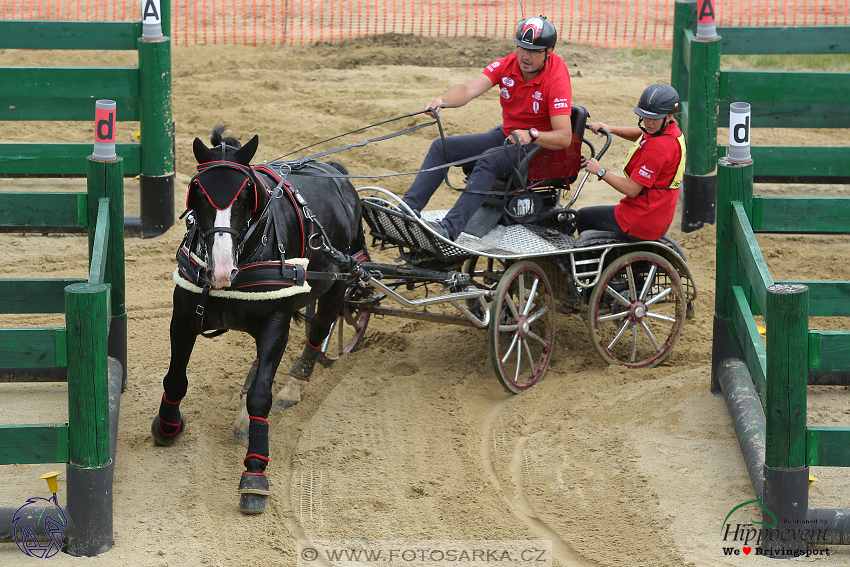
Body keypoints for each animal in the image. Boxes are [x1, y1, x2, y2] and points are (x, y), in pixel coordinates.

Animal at [152, 127, 364, 516]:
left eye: (245, 195)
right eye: (197, 193)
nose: (221, 269)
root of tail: (335, 170)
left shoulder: (276, 321)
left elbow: (262, 398)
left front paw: (254, 474)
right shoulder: (185, 313)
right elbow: (175, 378)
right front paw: (167, 426)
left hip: (338, 284)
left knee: (319, 328)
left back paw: (293, 386)